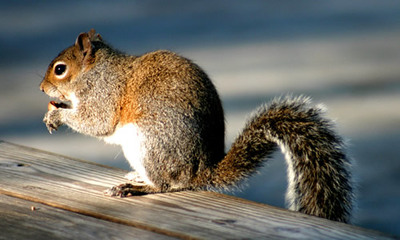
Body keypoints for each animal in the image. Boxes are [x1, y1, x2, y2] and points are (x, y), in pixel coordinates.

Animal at [39, 30, 354, 223]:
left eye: (60, 69)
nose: (42, 89)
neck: (96, 70)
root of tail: (199, 173)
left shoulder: (104, 94)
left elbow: (96, 121)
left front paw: (58, 116)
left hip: (148, 142)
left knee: (166, 184)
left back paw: (136, 187)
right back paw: (136, 177)